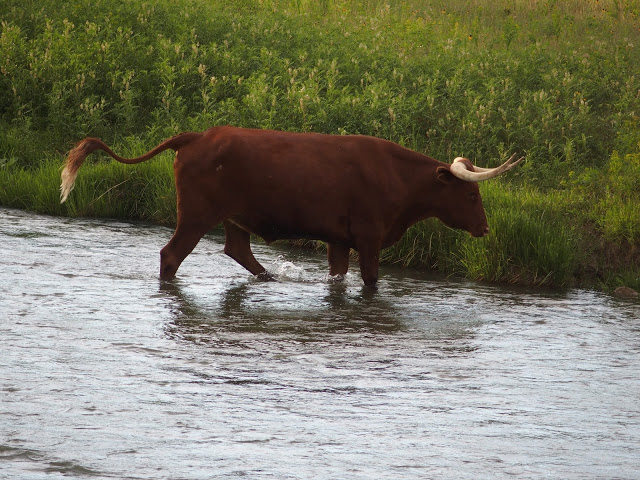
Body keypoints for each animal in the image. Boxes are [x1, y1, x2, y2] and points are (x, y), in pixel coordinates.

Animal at [60, 126, 522, 287]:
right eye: (472, 195)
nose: (484, 228)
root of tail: (197, 135)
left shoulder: (340, 239)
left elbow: (338, 277)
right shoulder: (369, 237)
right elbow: (371, 281)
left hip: (232, 217)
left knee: (238, 250)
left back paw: (270, 279)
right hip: (195, 214)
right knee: (171, 254)